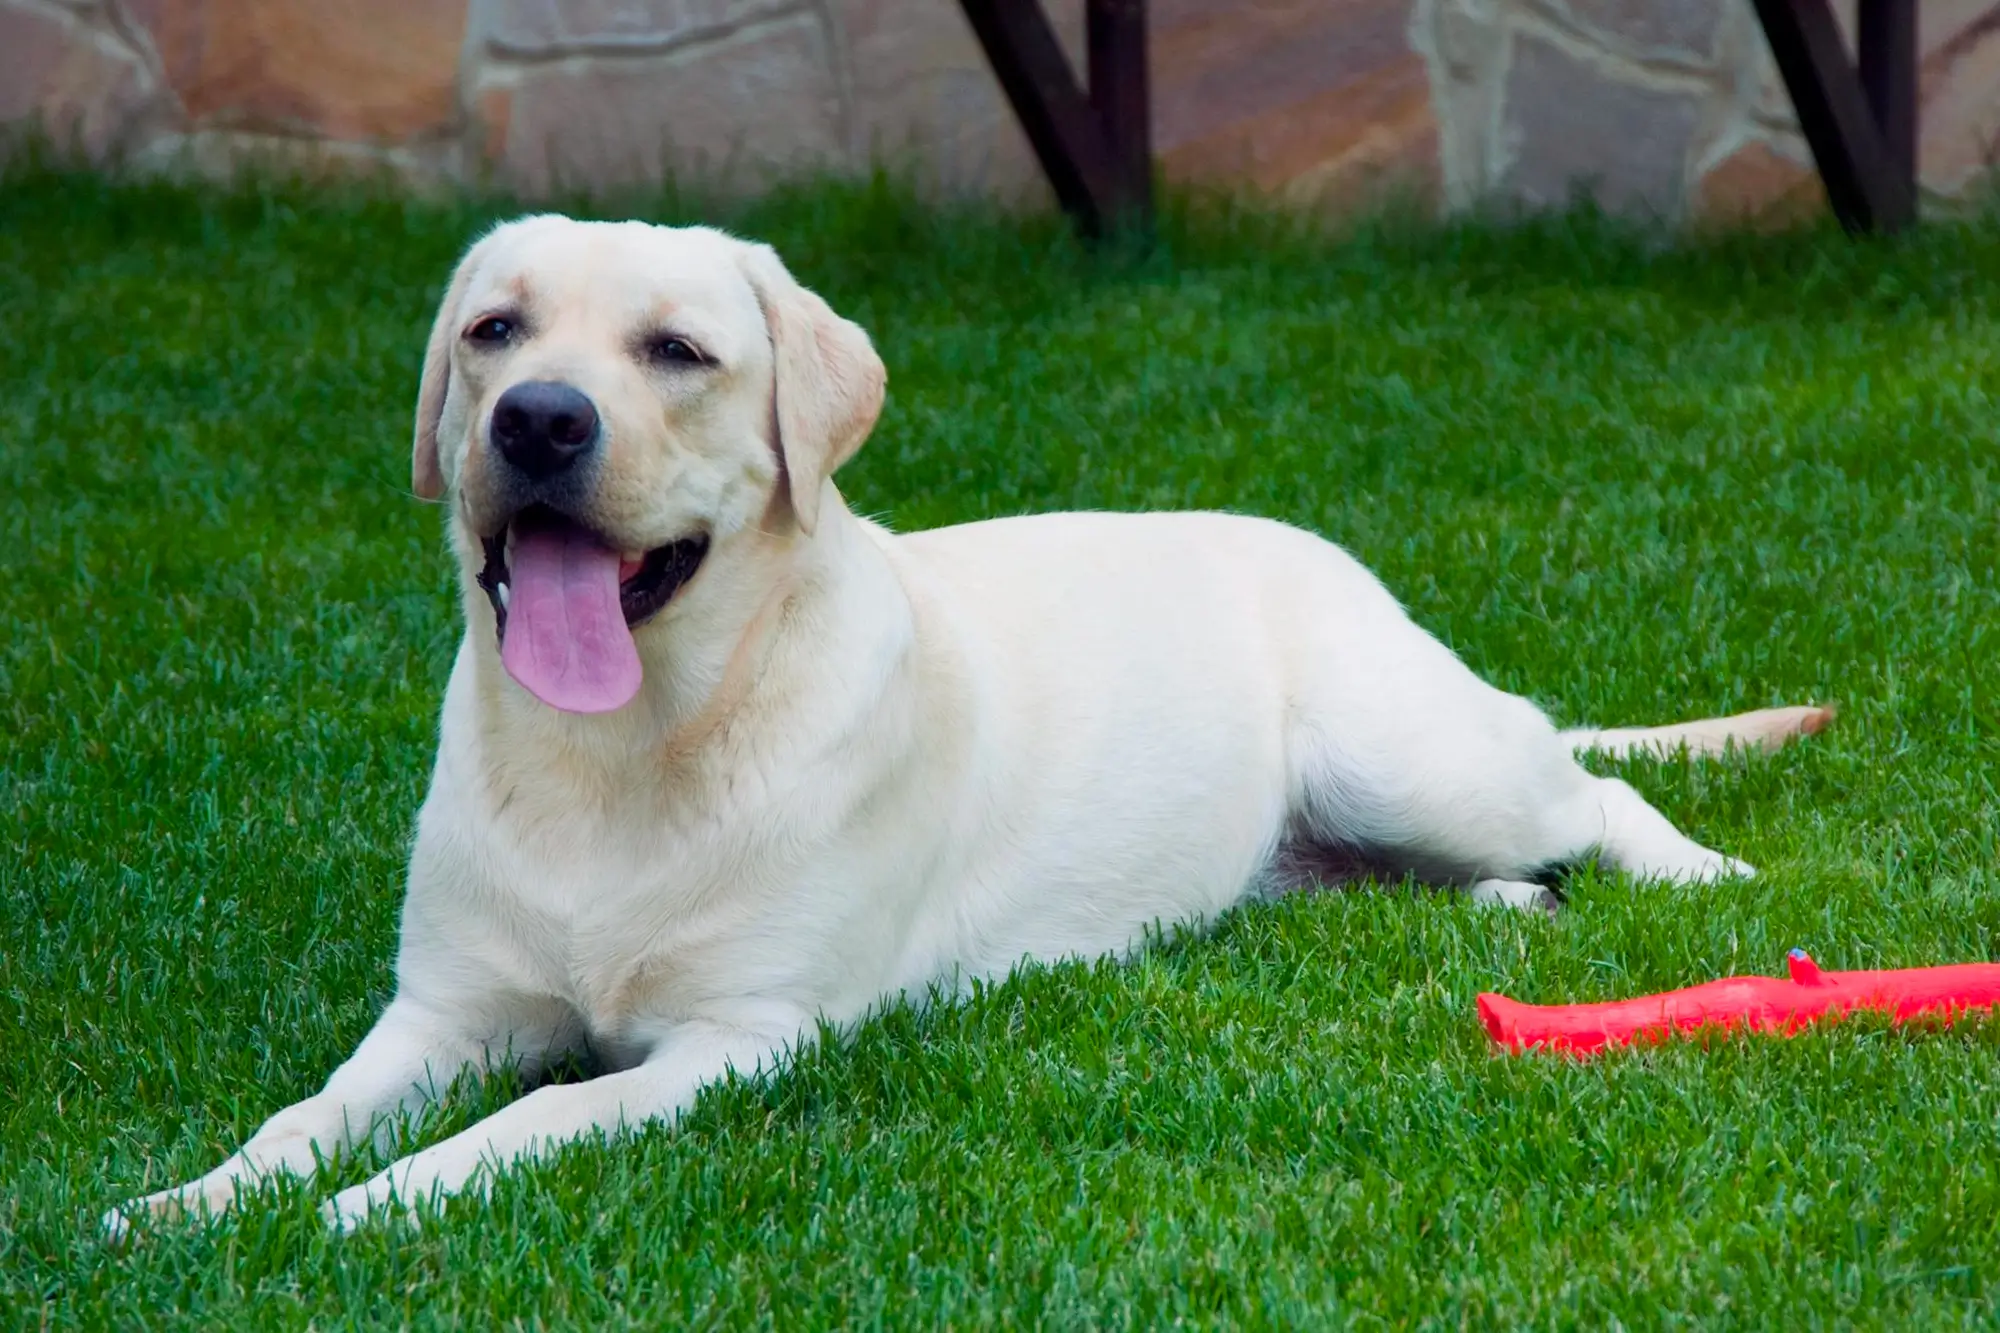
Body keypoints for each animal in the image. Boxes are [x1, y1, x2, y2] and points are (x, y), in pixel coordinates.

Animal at [109, 215, 1832, 1224]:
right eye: (494, 334)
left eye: (676, 352)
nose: (539, 420)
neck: (621, 750)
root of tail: (1329, 554)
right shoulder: (442, 1012)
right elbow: (305, 1114)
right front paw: (189, 1204)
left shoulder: (745, 1038)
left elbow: (542, 1112)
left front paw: (381, 1205)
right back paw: (1499, 911)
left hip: (1413, 752)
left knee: (1584, 792)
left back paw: (1696, 875)